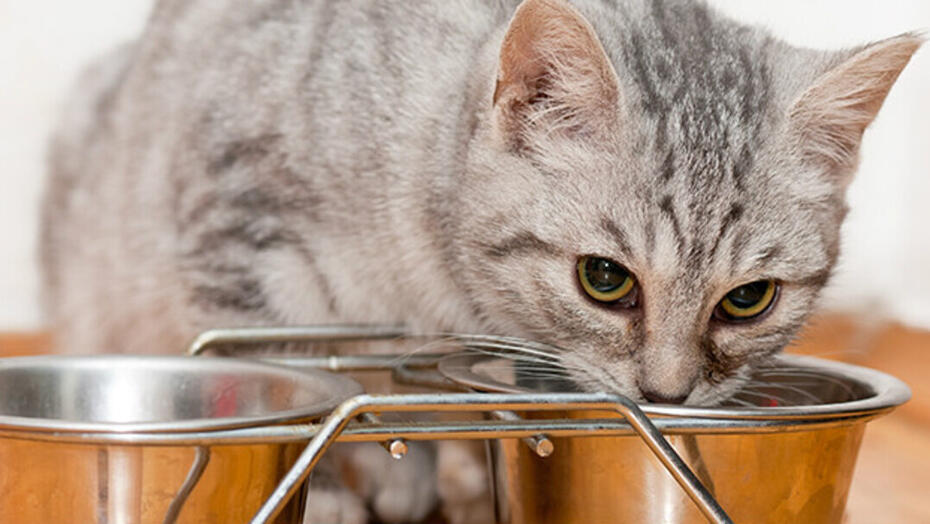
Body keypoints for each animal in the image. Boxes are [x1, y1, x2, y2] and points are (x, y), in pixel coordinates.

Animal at [40, 0, 916, 520]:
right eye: (606, 280)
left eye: (749, 299)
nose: (667, 393)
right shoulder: (239, 223)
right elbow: (295, 382)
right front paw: (333, 490)